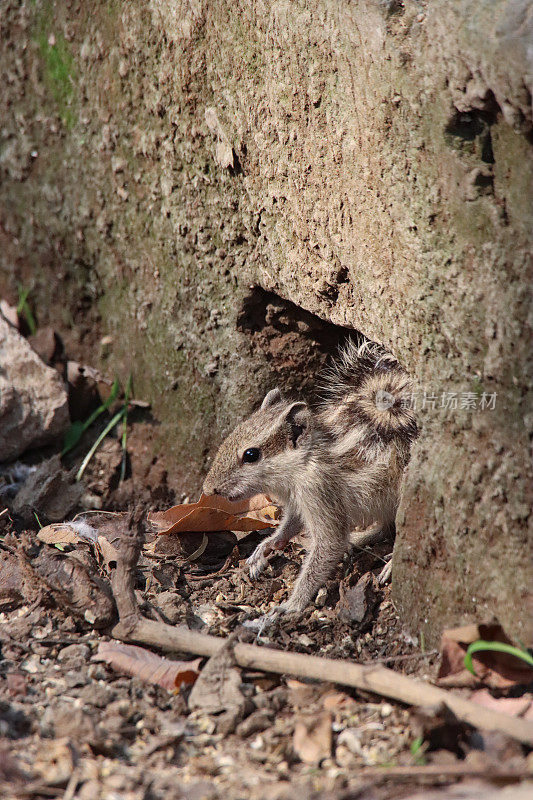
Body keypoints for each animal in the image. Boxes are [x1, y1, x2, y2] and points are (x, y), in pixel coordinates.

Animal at [202, 340, 418, 616]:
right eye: (233, 432)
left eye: (251, 455)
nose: (208, 489)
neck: (304, 462)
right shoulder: (296, 502)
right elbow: (290, 524)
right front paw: (267, 546)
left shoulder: (318, 492)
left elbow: (329, 545)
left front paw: (291, 605)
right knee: (383, 527)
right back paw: (358, 539)